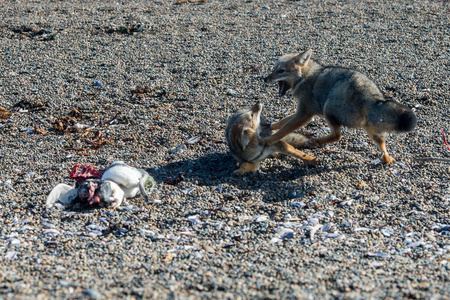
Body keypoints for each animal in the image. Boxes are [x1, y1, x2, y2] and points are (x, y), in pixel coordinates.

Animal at [262, 48, 416, 164]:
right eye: (274, 69)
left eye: (281, 71)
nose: (265, 79)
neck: (305, 76)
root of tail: (372, 97)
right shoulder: (303, 112)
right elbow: (283, 121)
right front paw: (271, 125)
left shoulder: (305, 113)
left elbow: (285, 129)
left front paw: (269, 139)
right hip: (372, 129)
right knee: (382, 146)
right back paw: (386, 159)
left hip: (328, 107)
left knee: (337, 135)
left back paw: (315, 142)